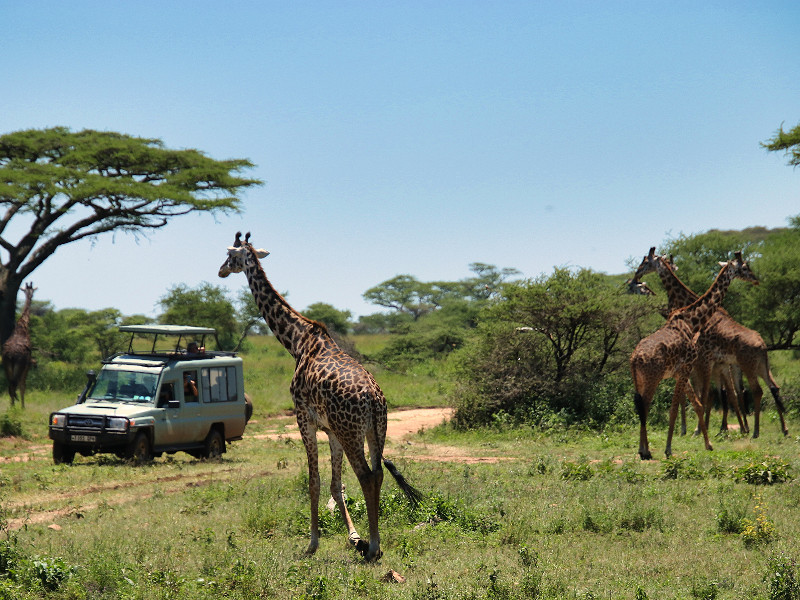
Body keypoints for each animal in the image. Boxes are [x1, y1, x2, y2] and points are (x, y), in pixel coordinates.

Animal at [216, 232, 422, 560]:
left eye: (230, 254)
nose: (221, 271)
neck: (297, 341)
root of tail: (373, 399)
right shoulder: (332, 430)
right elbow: (336, 486)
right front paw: (354, 536)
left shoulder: (304, 419)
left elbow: (314, 482)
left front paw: (312, 543)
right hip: (375, 431)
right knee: (377, 474)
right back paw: (373, 542)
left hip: (352, 432)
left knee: (366, 475)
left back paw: (374, 546)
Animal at [632, 246, 788, 438]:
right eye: (745, 267)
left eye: (646, 262)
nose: (636, 275)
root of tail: (763, 345)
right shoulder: (710, 362)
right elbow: (710, 394)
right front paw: (701, 428)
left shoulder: (704, 360)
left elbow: (705, 394)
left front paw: (696, 429)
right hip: (756, 365)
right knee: (768, 387)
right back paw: (776, 429)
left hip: (745, 365)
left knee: (753, 390)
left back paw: (753, 430)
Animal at [632, 254, 756, 460]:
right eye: (744, 267)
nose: (755, 279)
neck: (692, 321)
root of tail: (634, 359)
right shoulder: (687, 367)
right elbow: (677, 408)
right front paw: (669, 448)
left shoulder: (680, 371)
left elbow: (696, 403)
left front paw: (707, 443)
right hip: (653, 378)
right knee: (645, 406)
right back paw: (646, 451)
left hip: (640, 381)